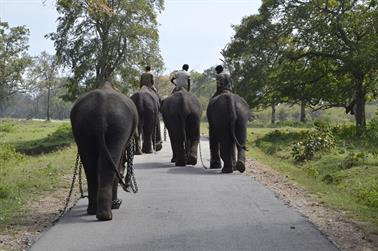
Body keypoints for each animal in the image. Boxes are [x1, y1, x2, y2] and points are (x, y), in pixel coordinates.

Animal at [69, 82, 137, 220]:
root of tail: (100, 113)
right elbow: (119, 162)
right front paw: (116, 204)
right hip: (119, 125)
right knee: (111, 163)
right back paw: (107, 213)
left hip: (83, 126)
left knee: (89, 166)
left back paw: (93, 210)